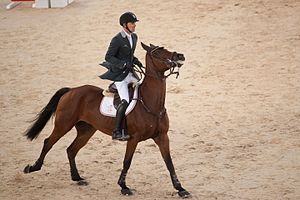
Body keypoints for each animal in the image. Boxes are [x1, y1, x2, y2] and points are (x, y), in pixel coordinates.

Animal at [24, 42, 191, 198]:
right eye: (158, 53)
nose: (180, 56)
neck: (151, 104)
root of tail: (71, 90)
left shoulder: (162, 136)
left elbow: (169, 162)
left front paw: (181, 189)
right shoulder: (133, 138)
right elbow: (127, 161)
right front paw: (124, 187)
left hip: (86, 130)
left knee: (71, 150)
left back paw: (77, 178)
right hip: (63, 125)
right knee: (49, 142)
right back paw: (33, 167)